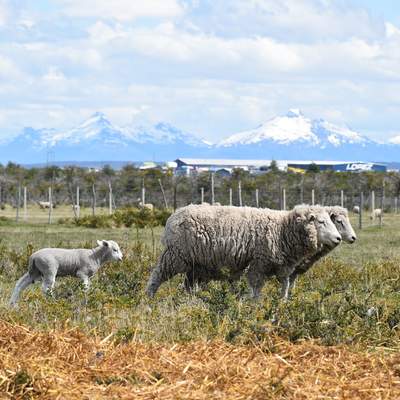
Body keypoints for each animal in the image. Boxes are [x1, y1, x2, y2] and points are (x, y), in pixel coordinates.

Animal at [145, 205, 340, 298]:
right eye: (321, 222)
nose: (338, 238)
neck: (283, 229)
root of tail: (174, 216)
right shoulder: (258, 264)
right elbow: (255, 289)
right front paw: (254, 307)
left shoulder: (282, 268)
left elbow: (284, 288)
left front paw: (282, 305)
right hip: (175, 256)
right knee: (157, 275)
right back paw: (149, 299)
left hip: (196, 265)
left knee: (188, 286)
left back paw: (191, 302)